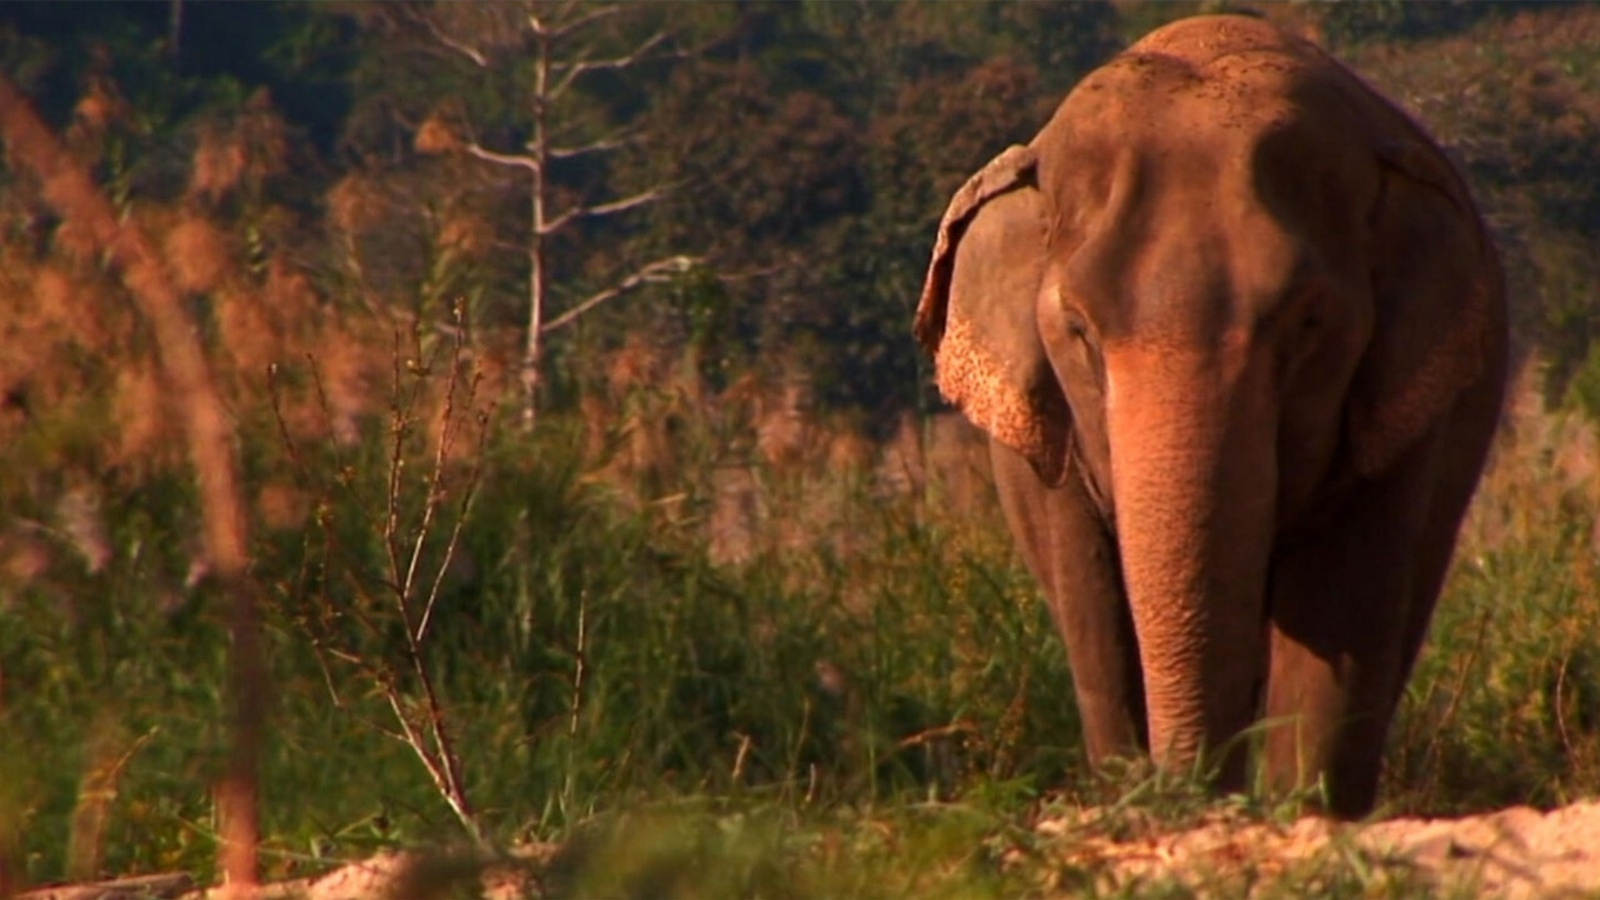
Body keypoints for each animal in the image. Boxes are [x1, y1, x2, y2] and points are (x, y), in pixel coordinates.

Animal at [913, 14, 1507, 818]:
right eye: (1078, 329)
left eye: (1309, 322)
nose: (1191, 794)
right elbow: (1097, 621)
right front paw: (1139, 803)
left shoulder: (1398, 411)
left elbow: (1338, 605)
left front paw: (1297, 814)